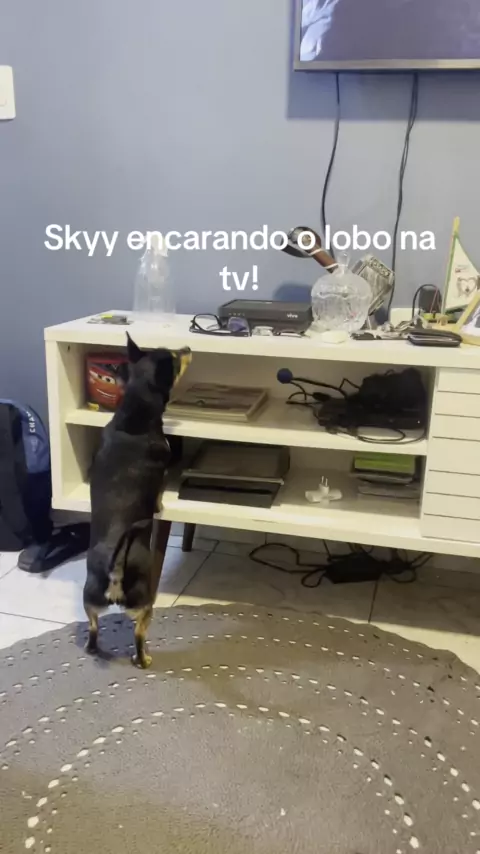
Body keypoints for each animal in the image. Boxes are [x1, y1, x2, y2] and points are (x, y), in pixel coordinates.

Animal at [83, 333, 192, 668]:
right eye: (175, 359)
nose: (188, 347)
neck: (132, 419)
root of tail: (116, 567)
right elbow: (158, 493)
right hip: (144, 605)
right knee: (139, 635)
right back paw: (143, 660)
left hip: (89, 600)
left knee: (93, 628)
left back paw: (91, 648)